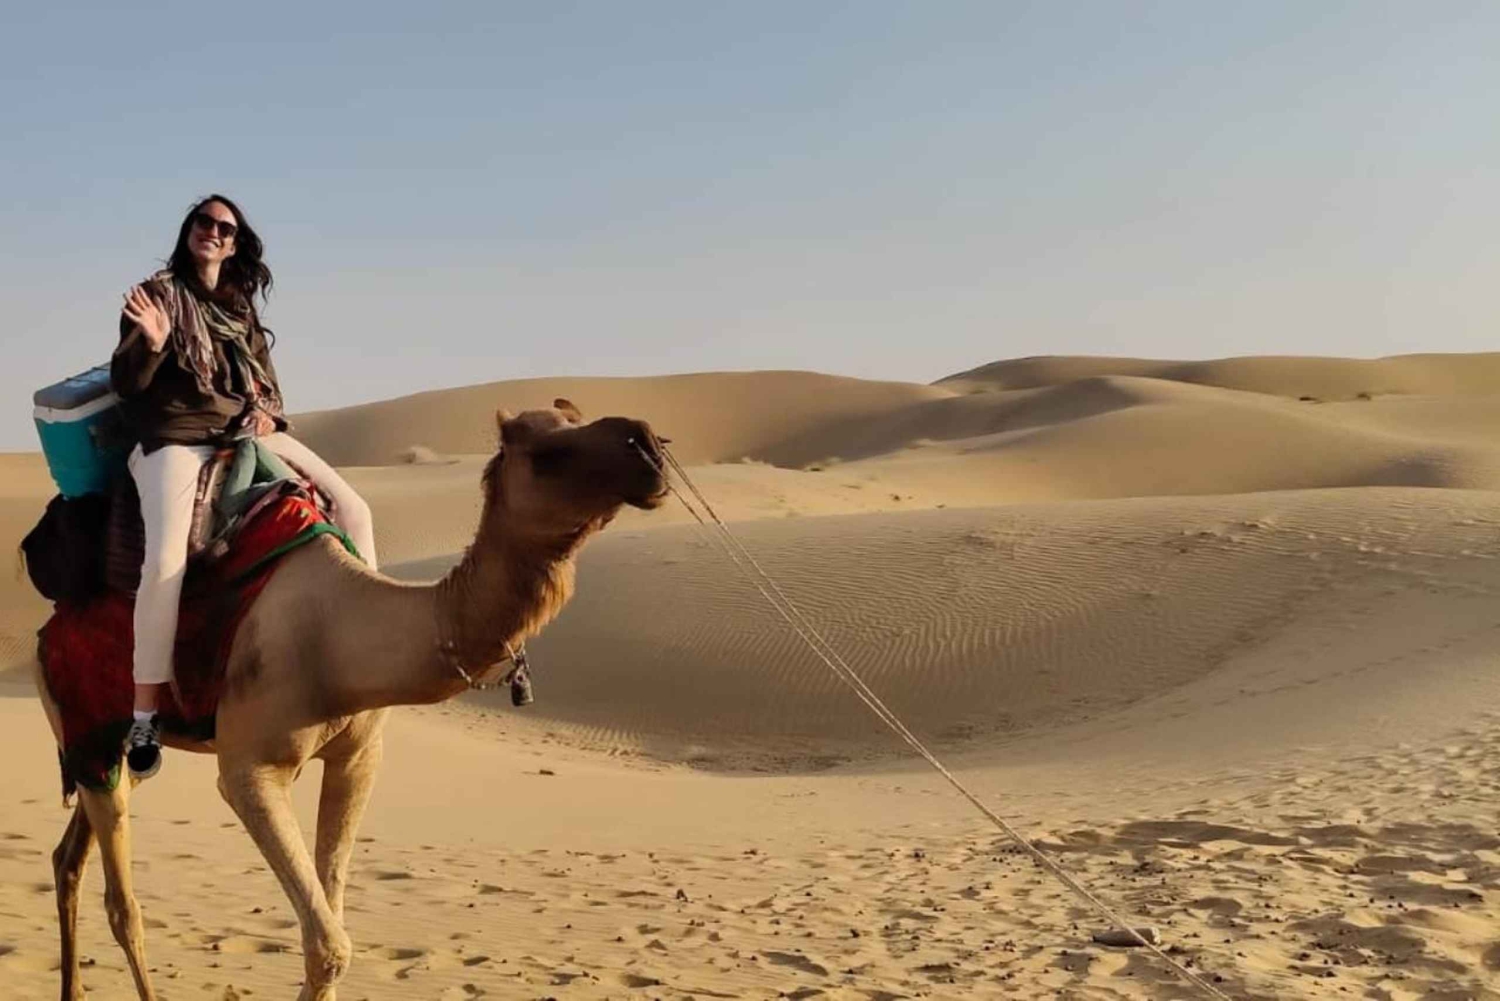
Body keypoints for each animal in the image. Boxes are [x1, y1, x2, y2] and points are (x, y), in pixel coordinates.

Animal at [33, 399, 668, 1001]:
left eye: (576, 419)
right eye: (547, 452)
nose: (648, 445)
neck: (339, 637)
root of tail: (45, 632)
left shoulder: (358, 759)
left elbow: (332, 916)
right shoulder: (249, 770)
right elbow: (329, 945)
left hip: (116, 750)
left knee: (70, 859)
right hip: (86, 731)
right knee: (123, 905)